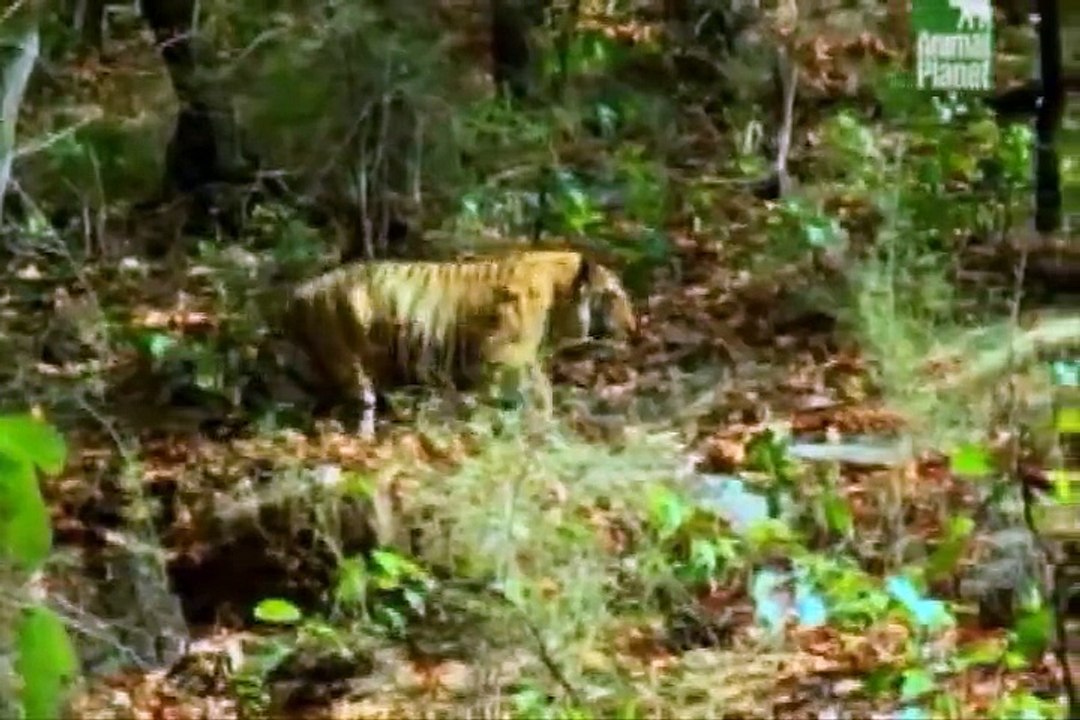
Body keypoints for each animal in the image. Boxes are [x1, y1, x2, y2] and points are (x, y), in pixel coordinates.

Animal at [282, 249, 636, 436]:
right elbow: (539, 390)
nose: (634, 328)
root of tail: (300, 292)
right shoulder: (506, 353)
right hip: (345, 361)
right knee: (357, 404)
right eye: (614, 296)